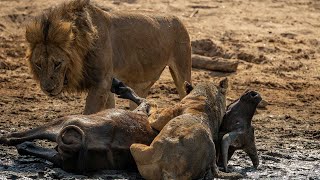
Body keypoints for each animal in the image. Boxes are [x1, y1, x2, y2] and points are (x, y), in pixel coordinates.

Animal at [26, 0, 190, 114]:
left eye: (58, 63)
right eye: (38, 64)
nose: (48, 89)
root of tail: (177, 18)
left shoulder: (102, 81)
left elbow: (89, 112)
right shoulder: (107, 83)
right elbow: (109, 108)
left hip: (182, 69)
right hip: (141, 83)